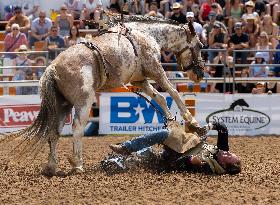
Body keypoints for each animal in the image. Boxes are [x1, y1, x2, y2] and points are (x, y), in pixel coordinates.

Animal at [0, 16, 206, 176]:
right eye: (200, 45)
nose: (200, 74)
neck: (145, 35)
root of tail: (52, 68)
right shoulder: (155, 70)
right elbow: (173, 92)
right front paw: (193, 123)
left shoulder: (140, 80)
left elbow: (160, 98)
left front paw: (172, 122)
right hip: (83, 102)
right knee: (77, 128)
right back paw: (78, 165)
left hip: (62, 105)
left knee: (54, 132)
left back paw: (51, 167)